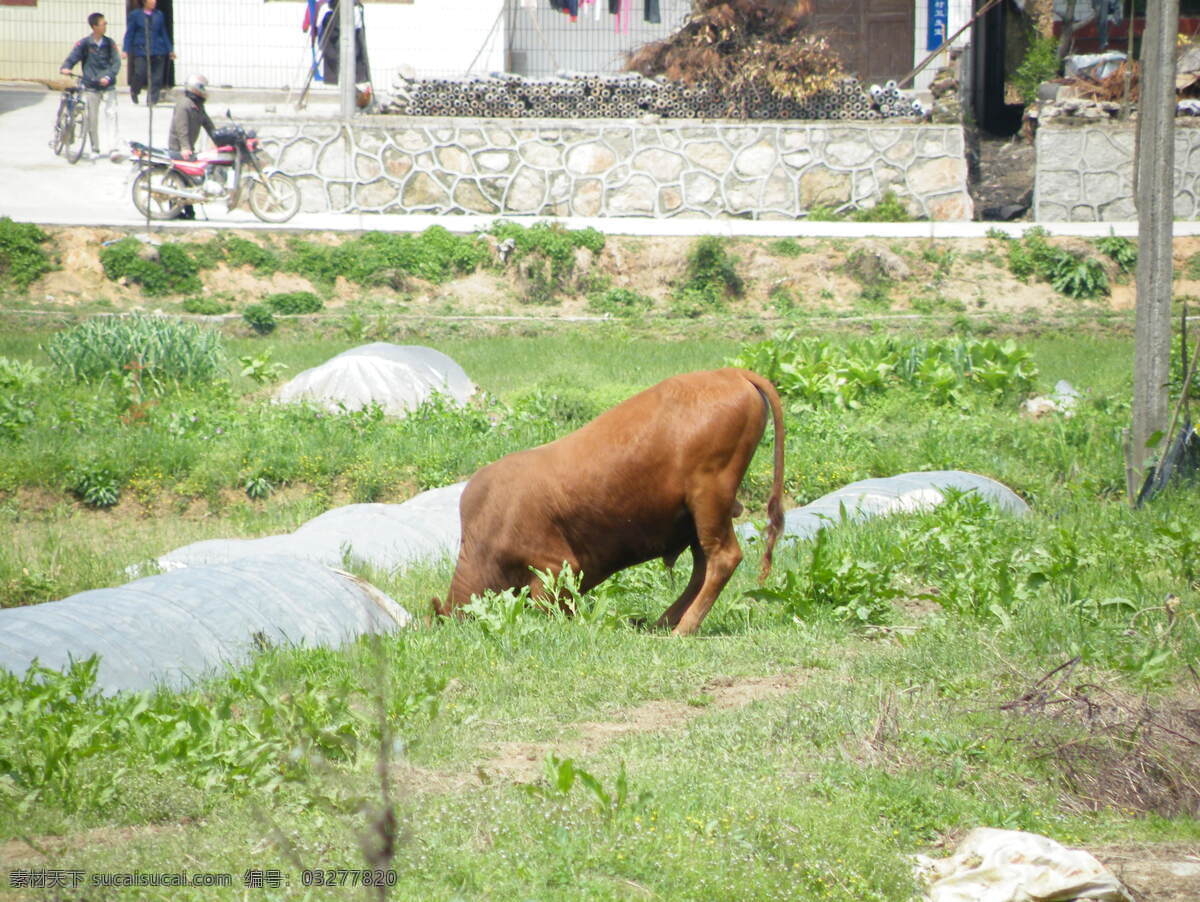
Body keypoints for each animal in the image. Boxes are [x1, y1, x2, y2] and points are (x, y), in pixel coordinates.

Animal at [436, 367, 782, 633]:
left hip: (709, 501)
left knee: (723, 558)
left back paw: (683, 627)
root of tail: (729, 372)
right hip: (697, 518)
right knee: (703, 568)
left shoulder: (555, 567)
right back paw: (663, 622)